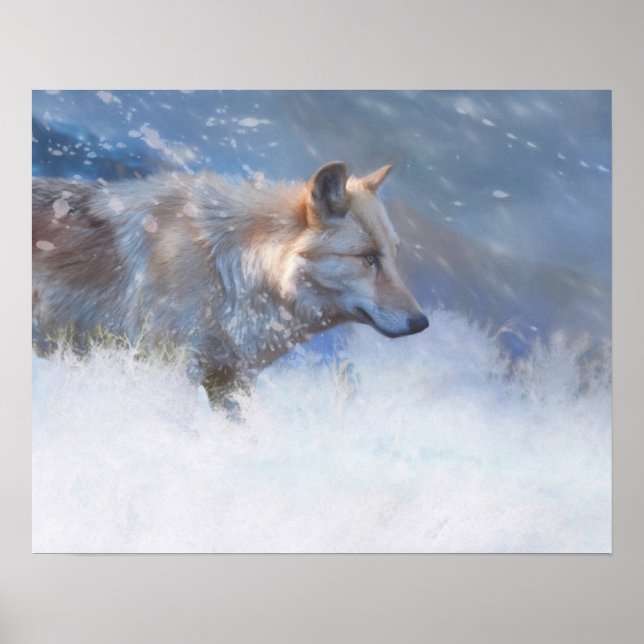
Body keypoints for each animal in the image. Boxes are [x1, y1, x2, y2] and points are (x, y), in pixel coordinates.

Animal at [32, 162, 428, 404]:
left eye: (393, 255)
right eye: (369, 258)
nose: (422, 323)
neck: (228, 268)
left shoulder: (233, 384)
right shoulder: (168, 372)